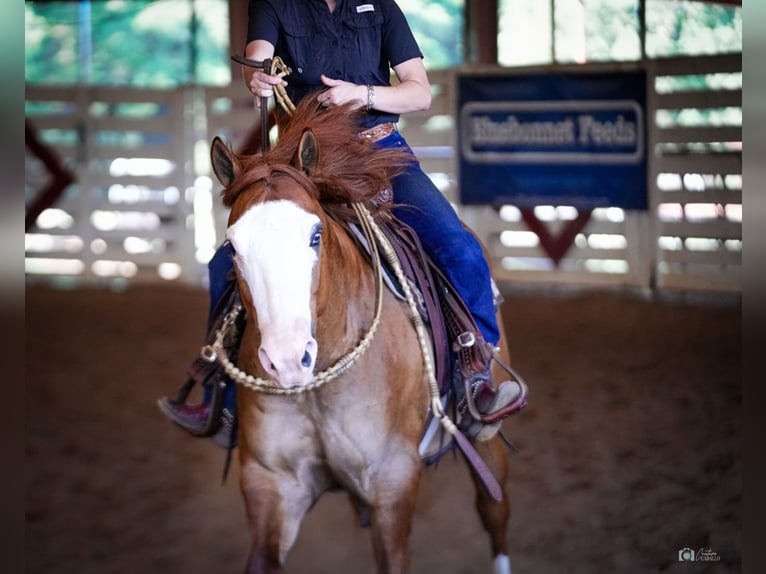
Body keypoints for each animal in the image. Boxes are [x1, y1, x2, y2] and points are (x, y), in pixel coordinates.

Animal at [208, 99, 516, 574]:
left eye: (315, 235)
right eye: (233, 246)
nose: (287, 360)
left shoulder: (394, 481)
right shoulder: (270, 483)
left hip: (488, 437)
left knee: (494, 509)